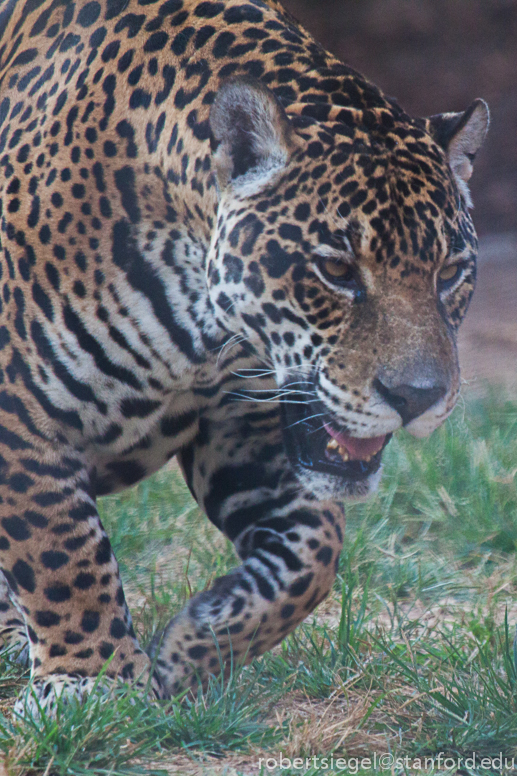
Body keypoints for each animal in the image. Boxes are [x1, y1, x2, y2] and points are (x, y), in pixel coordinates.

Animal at [0, 0, 488, 714]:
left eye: (450, 272)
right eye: (337, 270)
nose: (418, 397)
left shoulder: (243, 430)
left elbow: (314, 556)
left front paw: (193, 644)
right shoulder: (20, 414)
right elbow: (64, 552)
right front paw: (93, 684)